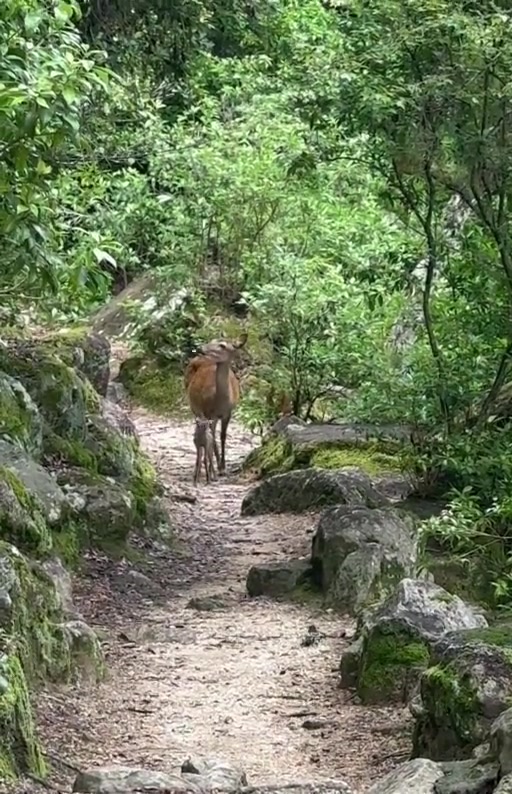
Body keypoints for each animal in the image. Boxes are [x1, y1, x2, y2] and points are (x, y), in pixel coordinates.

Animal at [185, 332, 248, 475]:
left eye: (222, 345)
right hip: (195, 407)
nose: (201, 349)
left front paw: (223, 466)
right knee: (207, 432)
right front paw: (217, 465)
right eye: (212, 340)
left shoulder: (228, 413)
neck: (219, 401)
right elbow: (212, 437)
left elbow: (223, 436)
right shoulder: (208, 413)